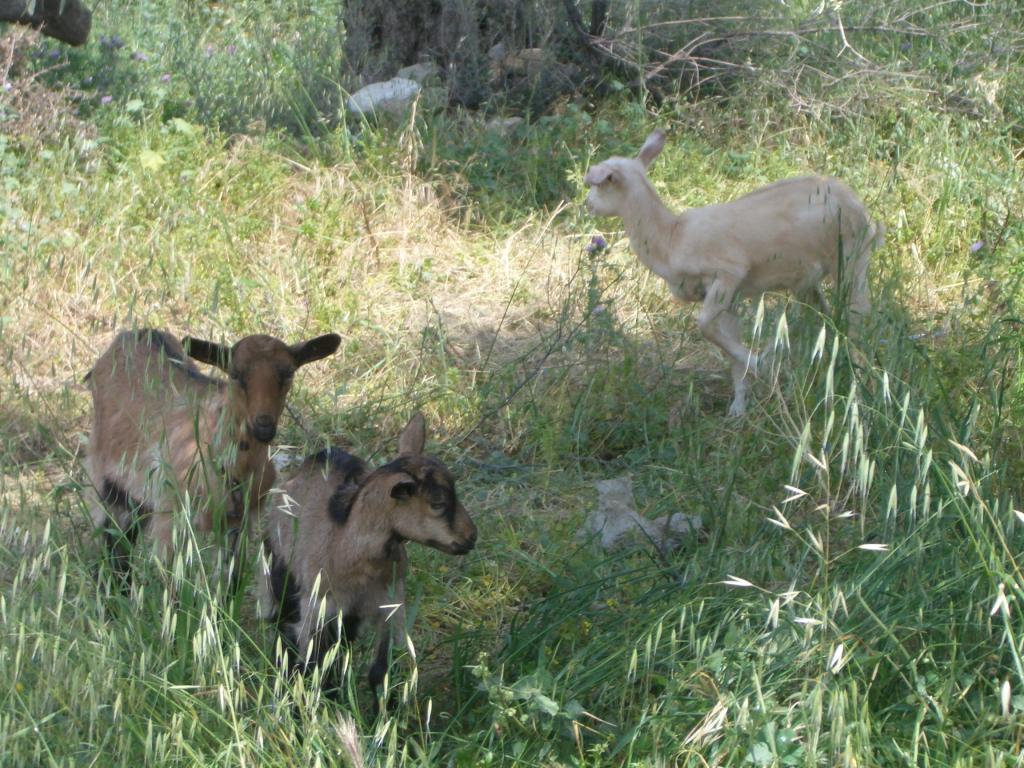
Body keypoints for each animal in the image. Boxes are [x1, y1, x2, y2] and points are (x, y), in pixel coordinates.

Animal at [85, 328, 341, 581]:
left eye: (288, 373)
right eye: (235, 374)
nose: (263, 425)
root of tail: (133, 333)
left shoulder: (241, 523)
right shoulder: (170, 518)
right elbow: (172, 584)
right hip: (103, 478)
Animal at [257, 412, 477, 705]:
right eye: (438, 504)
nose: (471, 537)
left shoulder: (390, 605)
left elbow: (380, 671)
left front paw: (384, 713)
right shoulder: (315, 608)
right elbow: (309, 666)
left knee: (340, 646)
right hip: (282, 574)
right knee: (286, 632)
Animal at [584, 129, 884, 416]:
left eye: (600, 184)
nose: (586, 204)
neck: (671, 238)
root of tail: (862, 210)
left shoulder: (728, 274)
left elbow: (705, 325)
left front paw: (759, 362)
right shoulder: (729, 296)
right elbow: (727, 344)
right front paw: (739, 406)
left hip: (852, 259)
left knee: (859, 315)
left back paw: (862, 379)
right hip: (809, 279)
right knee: (825, 316)